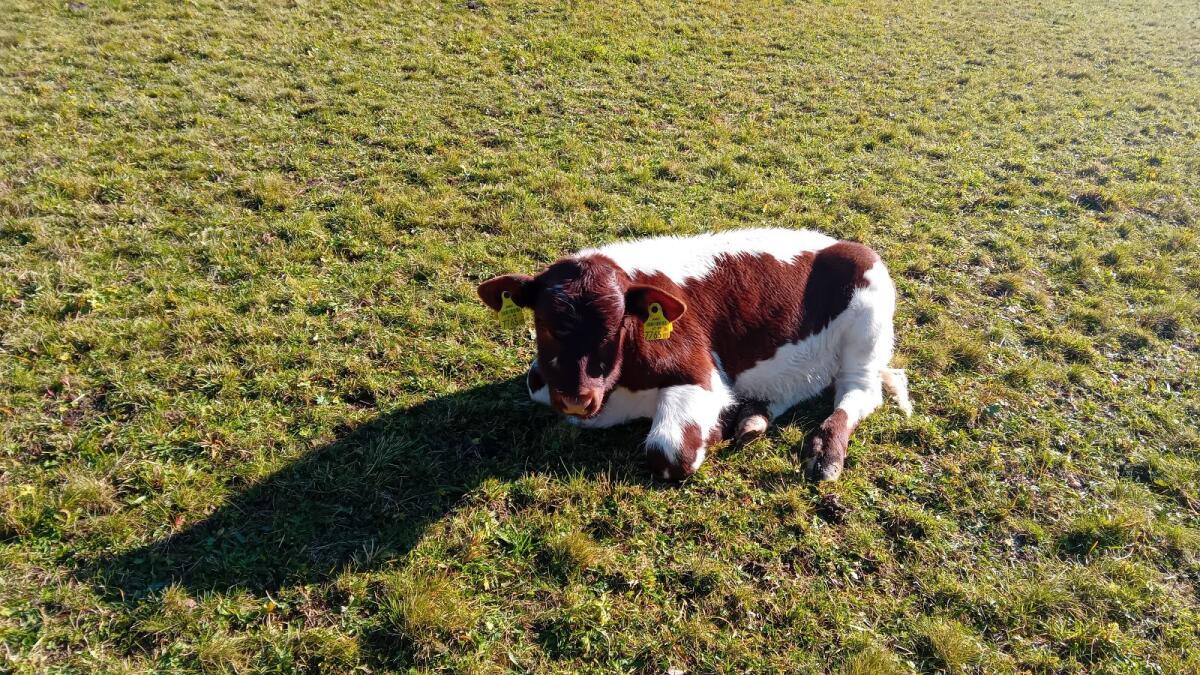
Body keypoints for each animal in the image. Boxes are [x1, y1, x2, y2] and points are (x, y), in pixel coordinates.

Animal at [477, 228, 912, 481]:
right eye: (545, 323)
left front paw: (714, 430)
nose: (576, 398)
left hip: (867, 328)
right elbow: (536, 384)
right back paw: (752, 418)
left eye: (616, 326)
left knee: (858, 392)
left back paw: (825, 453)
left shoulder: (700, 374)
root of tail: (839, 241)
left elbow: (669, 452)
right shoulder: (542, 380)